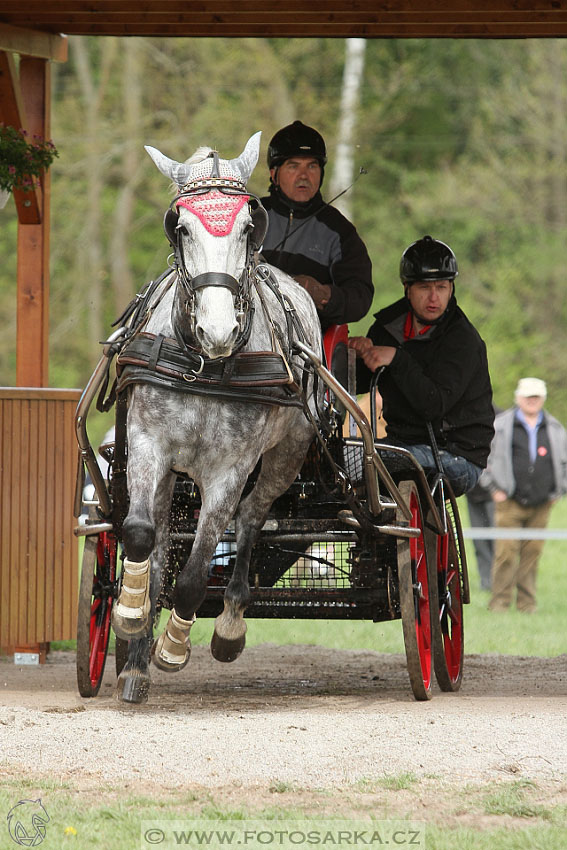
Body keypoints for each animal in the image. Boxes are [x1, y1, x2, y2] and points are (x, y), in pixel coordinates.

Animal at [112, 131, 324, 704]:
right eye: (181, 226)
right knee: (161, 534)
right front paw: (131, 617)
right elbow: (139, 535)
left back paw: (228, 623)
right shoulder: (146, 443)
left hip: (286, 456)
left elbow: (198, 564)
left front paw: (173, 647)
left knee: (251, 520)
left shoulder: (230, 469)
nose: (218, 329)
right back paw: (134, 658)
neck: (205, 365)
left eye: (249, 226)